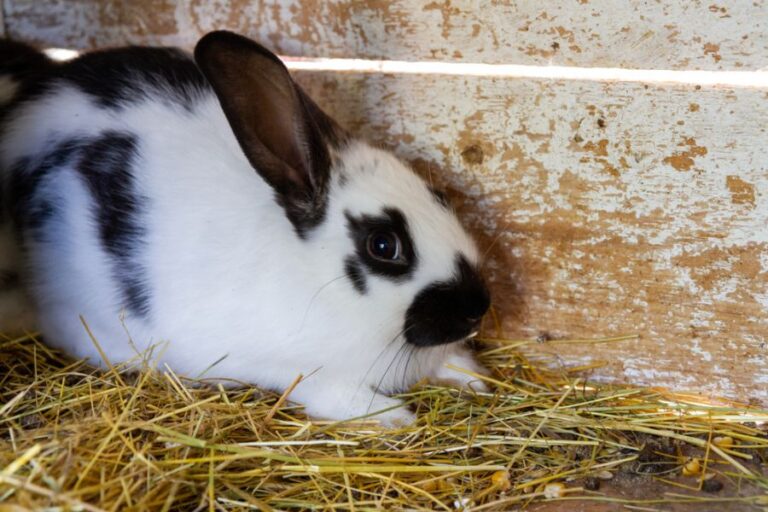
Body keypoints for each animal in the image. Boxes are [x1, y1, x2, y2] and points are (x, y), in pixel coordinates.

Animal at [0, 31, 491, 426]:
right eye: (384, 245)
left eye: (440, 196)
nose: (478, 307)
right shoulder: (306, 375)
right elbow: (342, 399)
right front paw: (395, 417)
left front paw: (475, 378)